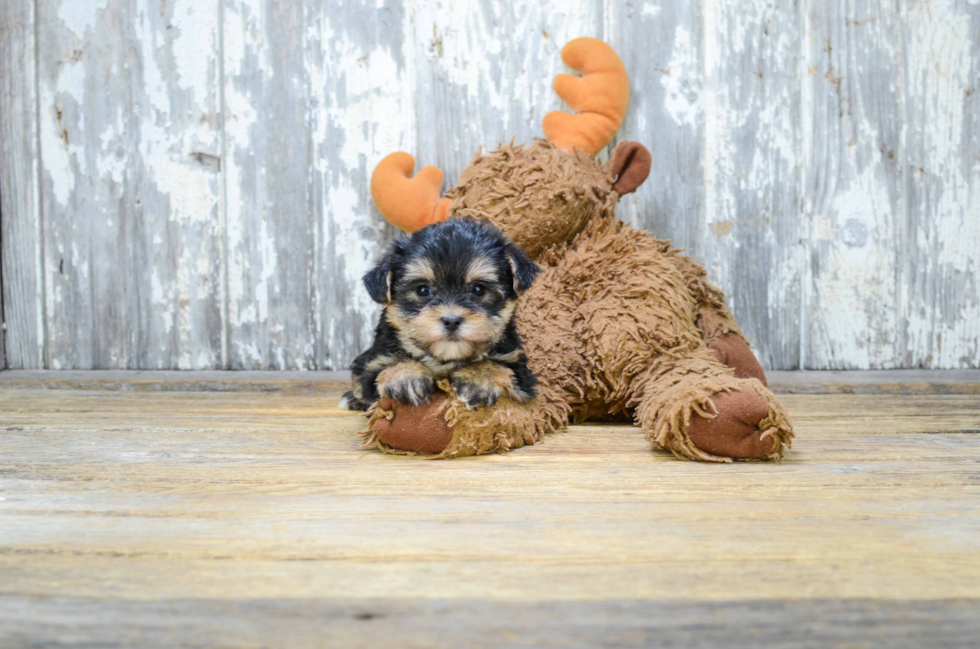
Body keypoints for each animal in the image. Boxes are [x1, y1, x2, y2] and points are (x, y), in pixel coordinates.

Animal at [340, 218, 540, 410]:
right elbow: (385, 367)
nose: (451, 320)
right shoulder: (376, 362)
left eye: (479, 289)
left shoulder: (520, 367)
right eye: (422, 290)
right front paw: (406, 375)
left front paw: (479, 377)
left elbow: (499, 365)